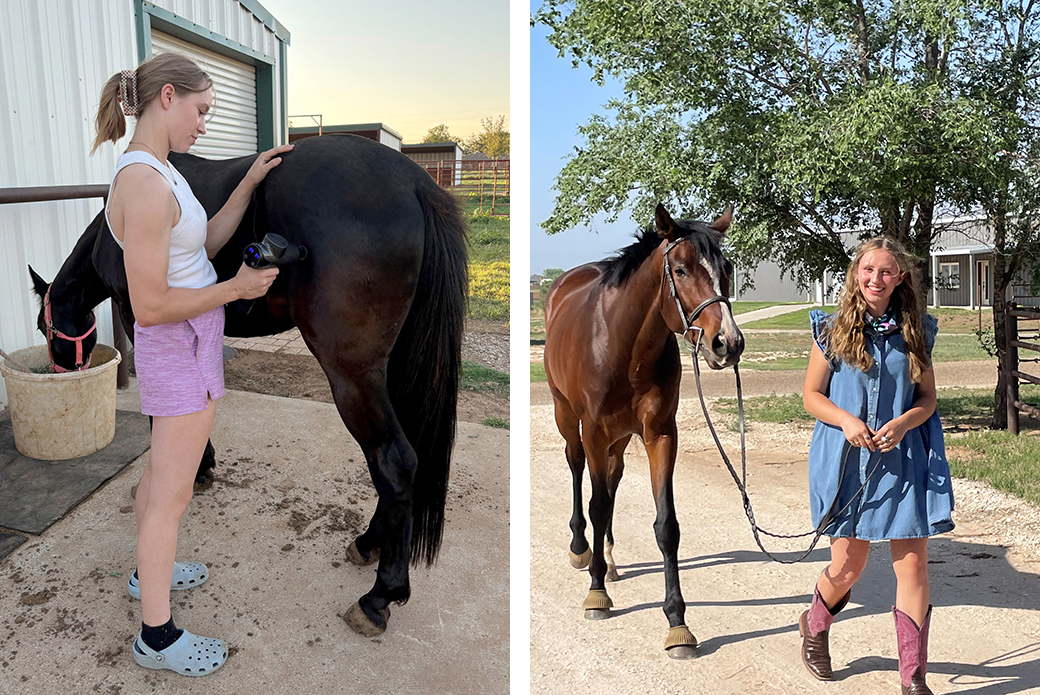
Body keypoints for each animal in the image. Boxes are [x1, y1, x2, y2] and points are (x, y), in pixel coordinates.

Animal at [27, 133, 467, 636]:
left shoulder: (138, 317)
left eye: (43, 328)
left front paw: (185, 471)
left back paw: (380, 597)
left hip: (352, 373)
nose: (59, 371)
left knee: (393, 460)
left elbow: (164, 404)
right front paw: (200, 464)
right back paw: (368, 543)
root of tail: (415, 182)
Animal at [540, 203, 744, 661]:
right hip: (568, 417)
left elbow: (666, 525)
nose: (728, 343)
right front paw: (596, 593)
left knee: (613, 479)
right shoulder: (594, 431)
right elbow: (597, 505)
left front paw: (678, 623)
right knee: (578, 470)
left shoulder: (660, 434)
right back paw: (583, 550)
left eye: (726, 268)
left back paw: (610, 558)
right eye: (681, 270)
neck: (624, 345)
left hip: (621, 437)